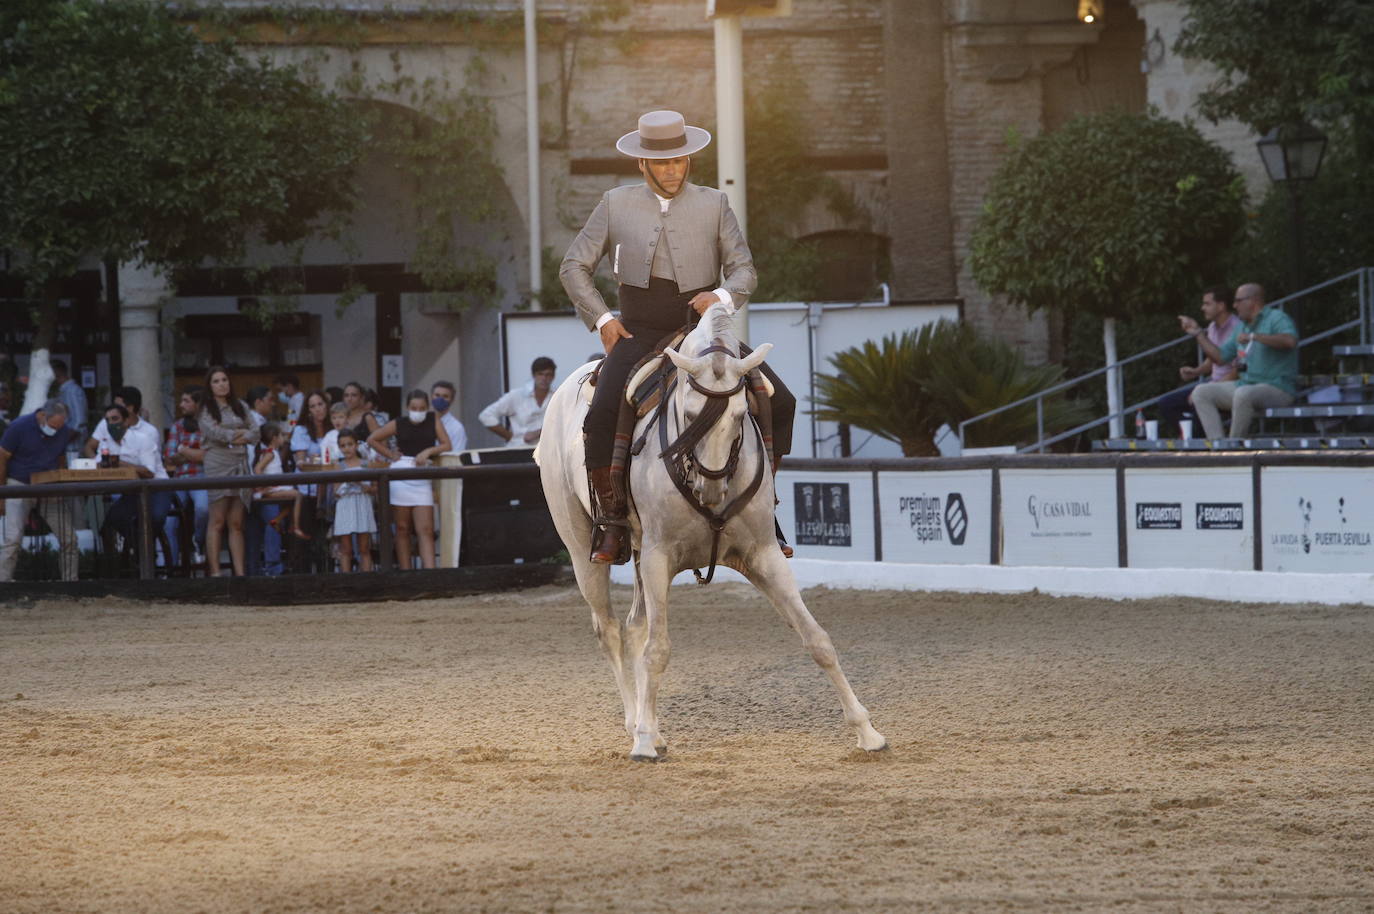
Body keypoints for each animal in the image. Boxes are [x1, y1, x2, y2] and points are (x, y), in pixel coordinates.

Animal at [530, 302, 884, 758]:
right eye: (689, 413)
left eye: (740, 415)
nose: (712, 487)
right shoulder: (660, 557)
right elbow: (658, 650)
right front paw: (642, 742)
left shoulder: (763, 555)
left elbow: (817, 639)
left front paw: (867, 731)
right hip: (582, 552)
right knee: (610, 630)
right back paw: (634, 724)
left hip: (640, 556)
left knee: (635, 626)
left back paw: (649, 723)